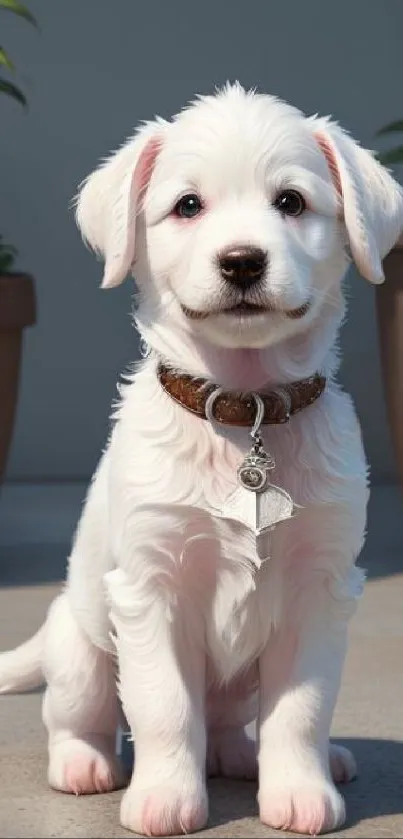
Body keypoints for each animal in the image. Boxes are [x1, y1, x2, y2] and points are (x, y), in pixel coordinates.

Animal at [0, 83, 403, 832]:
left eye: (291, 202)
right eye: (188, 205)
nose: (242, 260)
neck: (244, 408)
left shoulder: (320, 588)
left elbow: (300, 709)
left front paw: (299, 788)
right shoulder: (150, 589)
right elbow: (163, 707)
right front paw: (165, 796)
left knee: (225, 723)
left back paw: (260, 755)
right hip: (81, 647)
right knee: (82, 716)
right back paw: (84, 763)